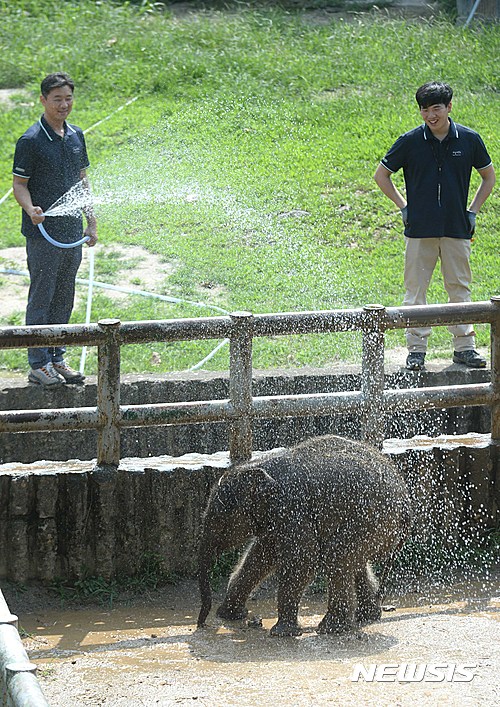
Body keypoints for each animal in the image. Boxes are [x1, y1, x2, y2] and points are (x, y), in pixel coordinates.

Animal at [197, 434, 412, 640]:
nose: (201, 625)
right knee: (355, 562)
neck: (259, 466)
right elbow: (260, 557)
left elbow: (303, 560)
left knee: (337, 556)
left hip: (374, 519)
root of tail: (407, 504)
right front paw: (228, 615)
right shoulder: (275, 518)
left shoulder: (292, 508)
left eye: (219, 520)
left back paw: (330, 629)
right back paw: (366, 617)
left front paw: (281, 634)